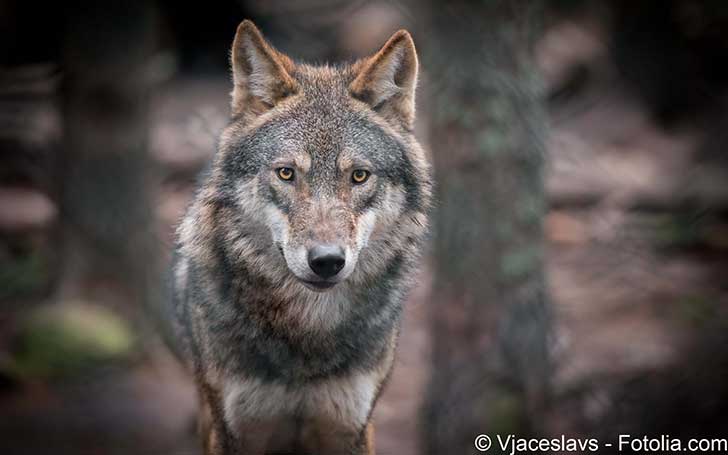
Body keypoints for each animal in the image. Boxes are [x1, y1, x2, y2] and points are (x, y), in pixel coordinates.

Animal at [169, 19, 432, 454]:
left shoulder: (351, 427)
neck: (307, 334)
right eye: (286, 173)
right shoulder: (235, 430)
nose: (326, 261)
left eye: (359, 175)